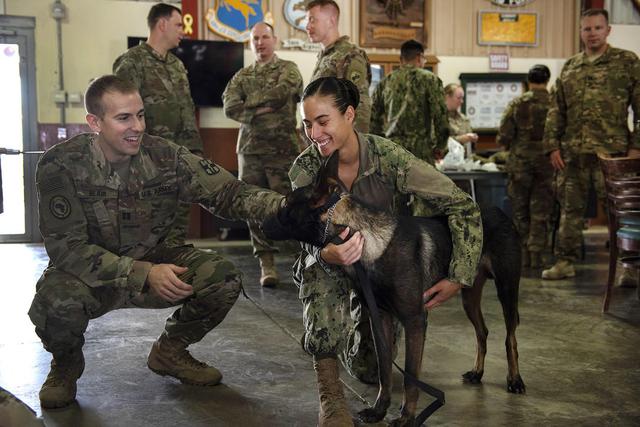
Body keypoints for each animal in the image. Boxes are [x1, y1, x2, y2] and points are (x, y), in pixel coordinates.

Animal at [262, 157, 524, 427]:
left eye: (285, 203)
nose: (260, 224)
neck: (368, 240)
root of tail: (500, 212)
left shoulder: (415, 321)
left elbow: (410, 376)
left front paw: (407, 417)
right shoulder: (382, 319)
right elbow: (385, 369)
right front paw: (379, 410)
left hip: (507, 291)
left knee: (510, 337)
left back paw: (514, 379)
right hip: (469, 298)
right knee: (482, 332)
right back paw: (477, 372)